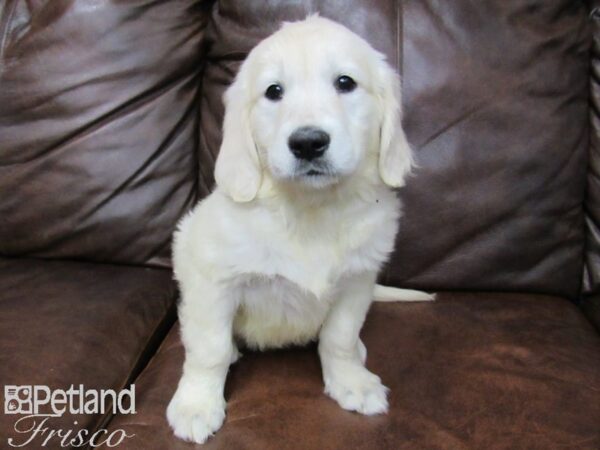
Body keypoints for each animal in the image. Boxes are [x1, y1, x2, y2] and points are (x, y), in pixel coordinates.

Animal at [166, 15, 434, 444]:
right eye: (273, 91)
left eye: (345, 82)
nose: (308, 143)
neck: (311, 209)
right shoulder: (213, 280)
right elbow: (209, 349)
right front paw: (197, 404)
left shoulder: (358, 281)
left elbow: (339, 338)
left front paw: (350, 381)